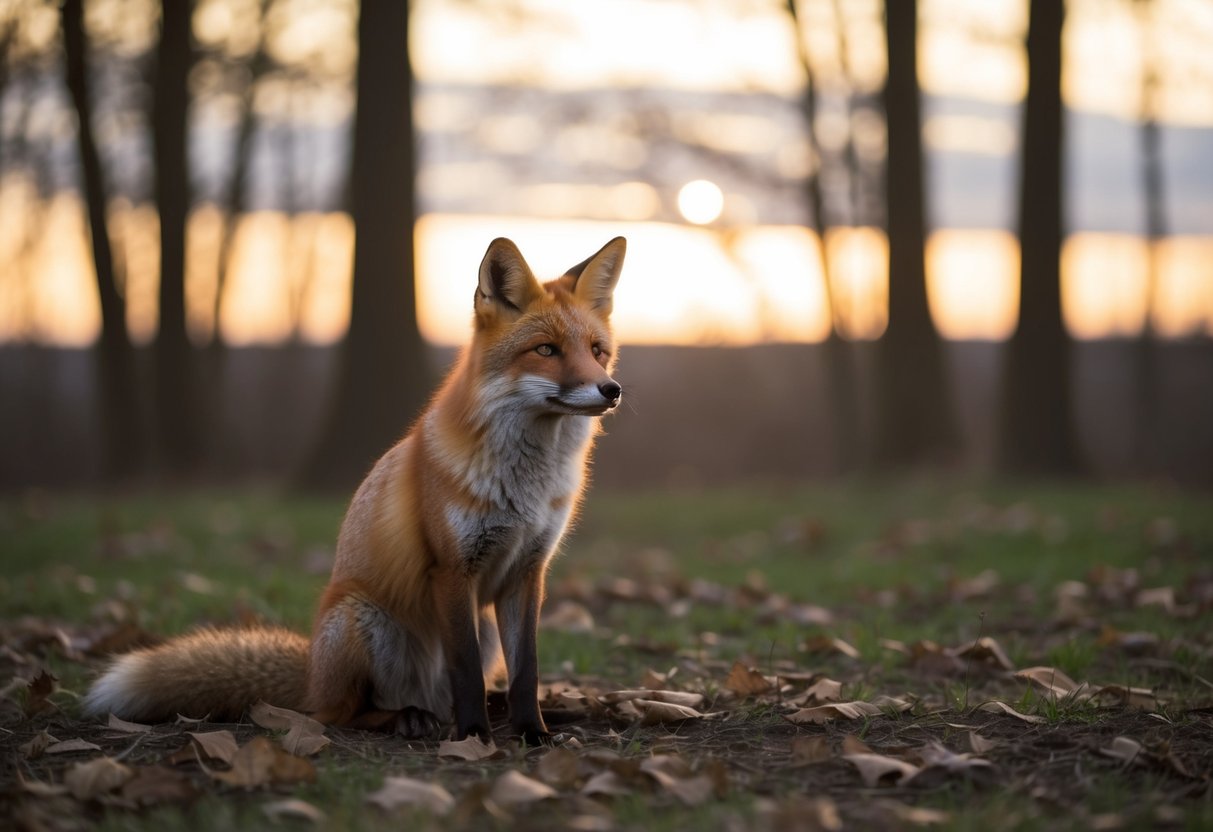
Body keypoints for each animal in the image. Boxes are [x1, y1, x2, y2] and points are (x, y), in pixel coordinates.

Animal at [83, 236, 627, 745]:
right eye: (546, 350)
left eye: (597, 351)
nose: (611, 390)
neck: (526, 487)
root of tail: (311, 675)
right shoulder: (452, 569)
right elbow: (467, 672)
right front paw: (474, 736)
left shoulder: (527, 572)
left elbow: (525, 672)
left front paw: (533, 732)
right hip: (364, 621)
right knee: (344, 713)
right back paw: (412, 718)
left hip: (484, 625)